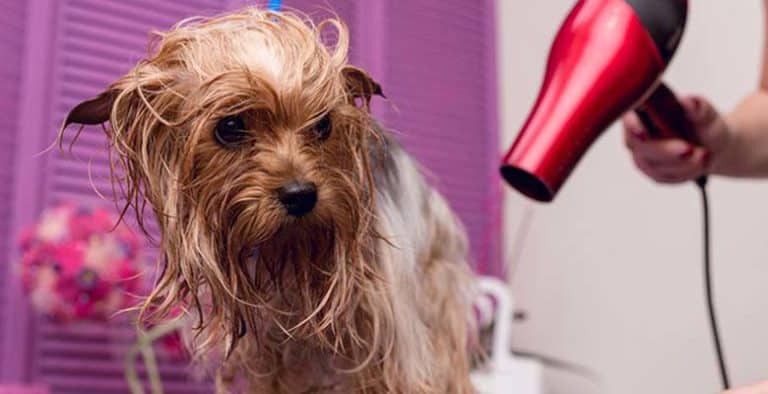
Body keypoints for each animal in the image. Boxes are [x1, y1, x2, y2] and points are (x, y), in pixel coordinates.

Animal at [61, 7, 480, 392]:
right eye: (230, 127)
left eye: (323, 125)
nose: (301, 196)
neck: (288, 252)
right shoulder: (269, 358)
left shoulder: (391, 346)